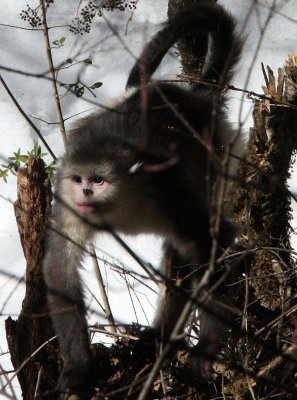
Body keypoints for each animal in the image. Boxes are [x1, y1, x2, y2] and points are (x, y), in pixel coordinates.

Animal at [42, 1, 242, 396]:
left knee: (182, 250)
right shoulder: (69, 202)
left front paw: (207, 349)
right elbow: (60, 266)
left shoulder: (164, 190)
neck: (121, 207)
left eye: (99, 180)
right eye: (79, 180)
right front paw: (77, 368)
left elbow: (212, 243)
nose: (86, 193)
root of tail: (195, 98)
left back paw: (163, 336)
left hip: (218, 156)